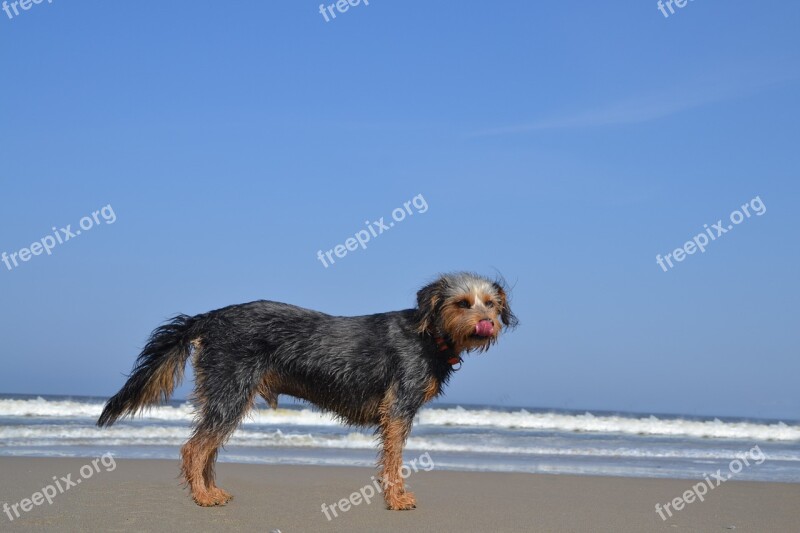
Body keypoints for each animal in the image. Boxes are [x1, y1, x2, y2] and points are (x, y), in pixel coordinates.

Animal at [95, 272, 520, 510]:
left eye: (491, 303)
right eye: (462, 303)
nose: (487, 323)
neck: (430, 335)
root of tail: (211, 317)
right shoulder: (399, 409)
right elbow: (394, 462)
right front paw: (397, 499)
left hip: (225, 395)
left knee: (206, 449)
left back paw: (212, 492)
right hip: (232, 391)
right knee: (193, 449)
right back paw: (201, 497)